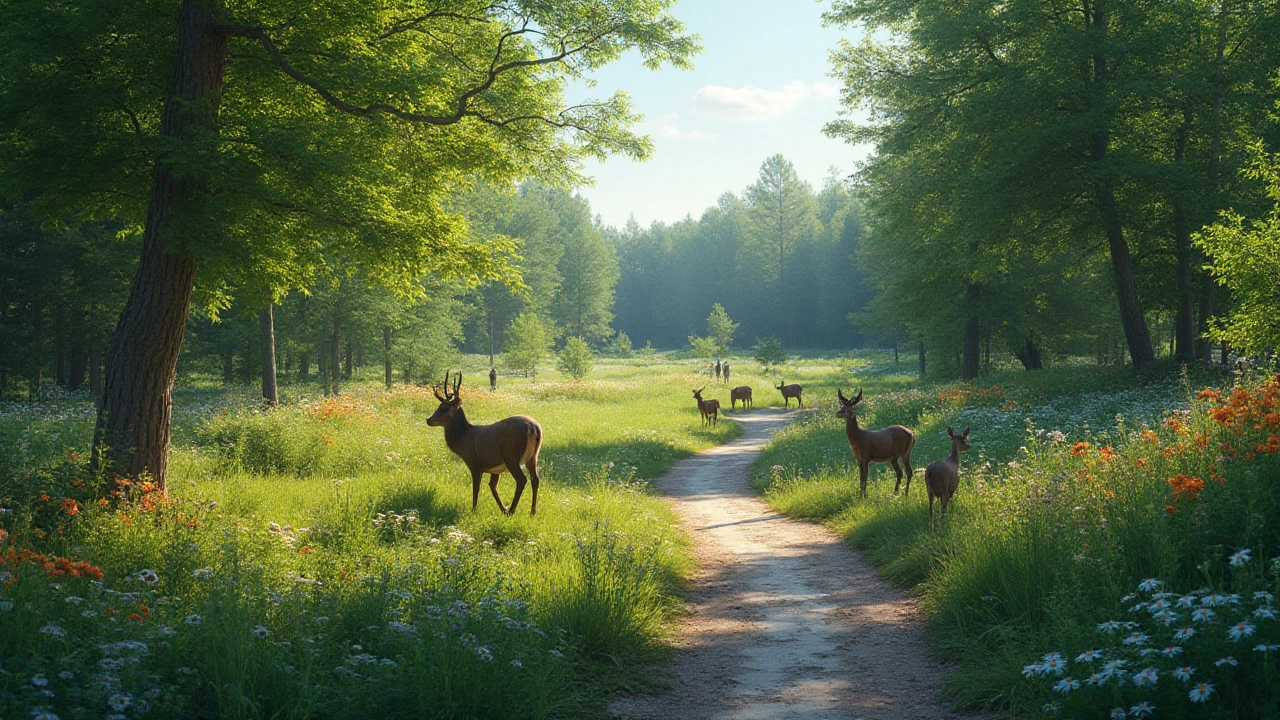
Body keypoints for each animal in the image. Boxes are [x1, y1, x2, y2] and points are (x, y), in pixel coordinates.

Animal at [427, 368, 542, 515]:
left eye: (444, 408)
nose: (428, 420)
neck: (463, 439)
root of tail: (533, 428)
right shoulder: (495, 469)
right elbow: (492, 486)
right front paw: (503, 509)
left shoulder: (474, 462)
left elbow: (476, 488)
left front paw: (474, 509)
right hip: (533, 456)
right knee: (535, 479)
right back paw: (532, 512)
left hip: (510, 454)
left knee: (522, 479)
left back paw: (512, 511)